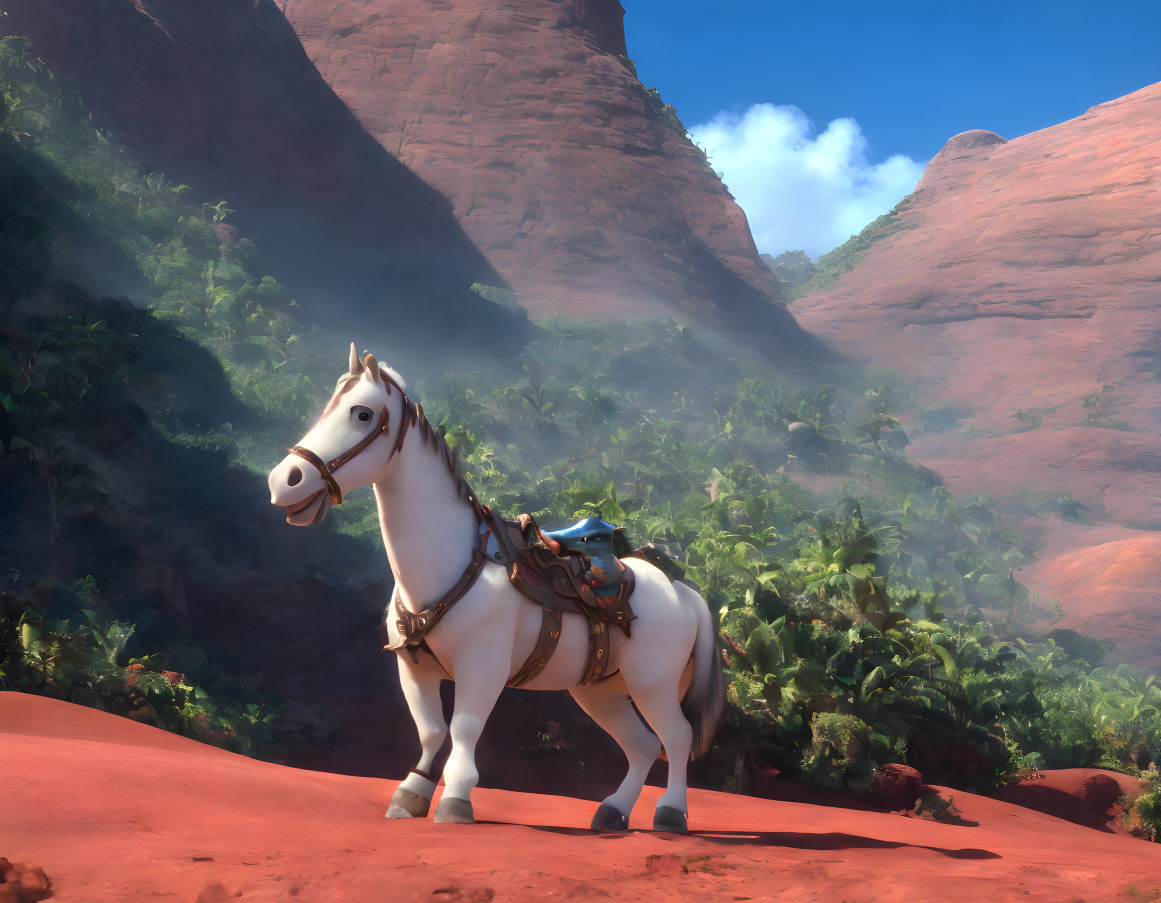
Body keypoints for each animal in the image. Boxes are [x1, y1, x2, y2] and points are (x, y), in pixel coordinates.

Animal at [267, 345, 719, 831]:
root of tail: (684, 592)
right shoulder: (414, 670)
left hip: (652, 684)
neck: (450, 562)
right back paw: (612, 812)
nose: (285, 480)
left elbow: (464, 728)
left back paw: (670, 813)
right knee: (642, 744)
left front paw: (455, 800)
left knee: (676, 737)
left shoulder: (482, 669)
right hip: (600, 690)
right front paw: (409, 795)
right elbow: (431, 730)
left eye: (363, 414)